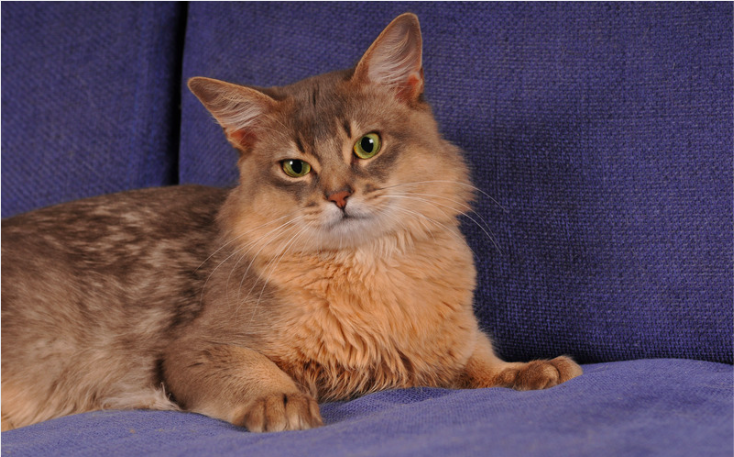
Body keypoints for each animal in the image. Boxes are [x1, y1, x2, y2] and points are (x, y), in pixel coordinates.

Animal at [2, 11, 584, 432]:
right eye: (295, 167)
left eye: (367, 145)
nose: (339, 195)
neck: (370, 276)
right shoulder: (193, 349)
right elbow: (255, 372)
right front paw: (281, 400)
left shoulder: (453, 340)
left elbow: (484, 362)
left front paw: (529, 369)